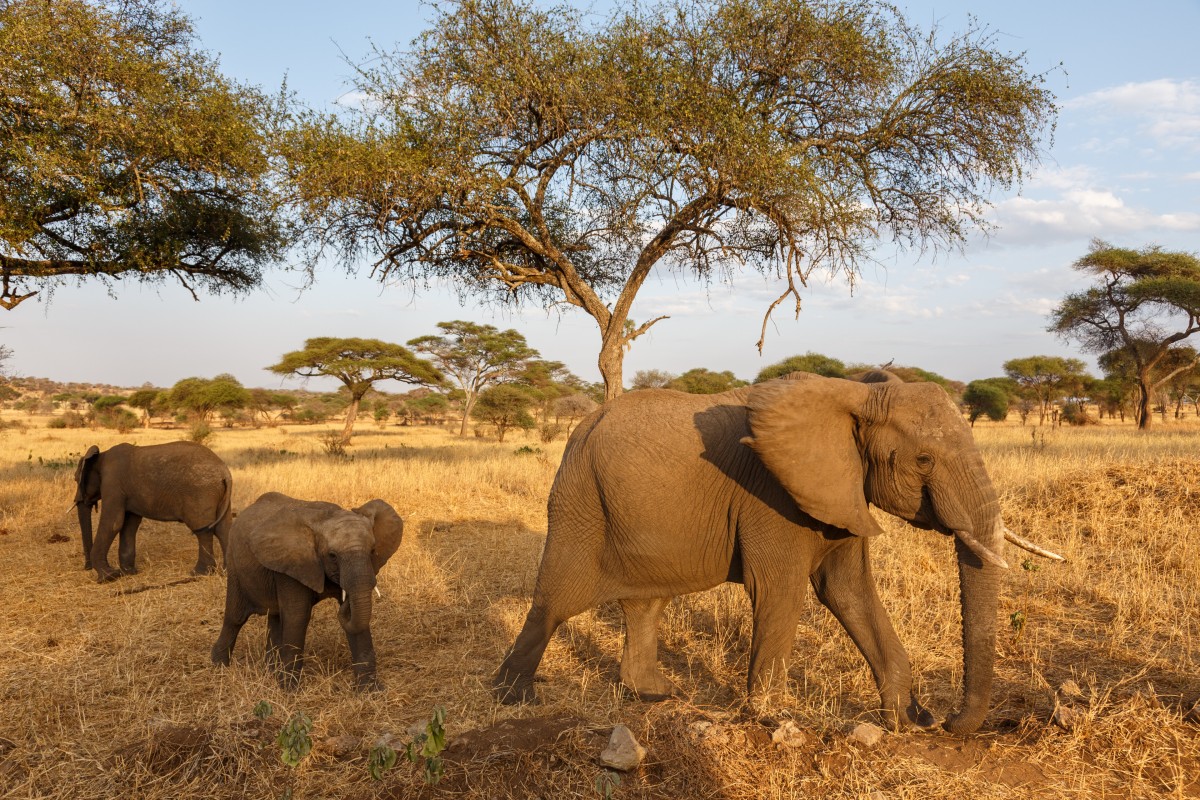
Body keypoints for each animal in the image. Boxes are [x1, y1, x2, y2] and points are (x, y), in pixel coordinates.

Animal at [73, 441, 232, 585]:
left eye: (75, 479)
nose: (87, 567)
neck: (101, 456)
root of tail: (224, 472)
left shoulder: (113, 483)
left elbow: (114, 522)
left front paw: (109, 577)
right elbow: (129, 525)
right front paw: (128, 573)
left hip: (200, 492)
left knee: (203, 529)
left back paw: (199, 573)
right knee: (223, 529)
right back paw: (226, 572)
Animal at [208, 491, 405, 690]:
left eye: (372, 551)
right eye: (332, 556)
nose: (344, 605)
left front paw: (370, 691)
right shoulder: (292, 563)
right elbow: (298, 616)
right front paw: (289, 690)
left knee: (275, 617)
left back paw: (270, 672)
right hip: (234, 564)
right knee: (235, 617)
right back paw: (219, 667)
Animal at [494, 371, 1060, 734]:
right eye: (923, 460)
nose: (946, 721)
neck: (856, 392)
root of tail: (583, 425)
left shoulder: (840, 490)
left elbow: (848, 591)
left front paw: (904, 722)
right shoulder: (771, 493)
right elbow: (781, 590)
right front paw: (770, 719)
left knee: (645, 602)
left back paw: (654, 694)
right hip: (579, 501)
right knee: (555, 602)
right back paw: (513, 697)